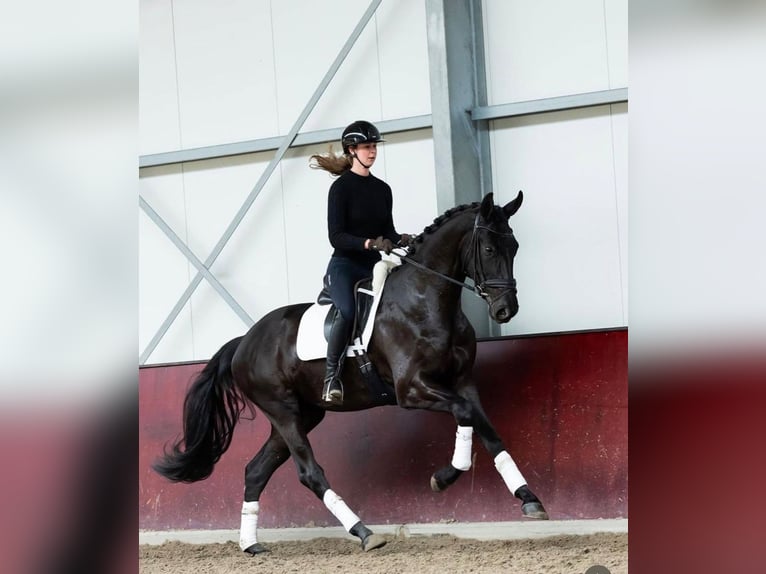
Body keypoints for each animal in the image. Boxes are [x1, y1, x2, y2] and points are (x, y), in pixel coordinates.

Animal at [152, 191, 549, 555]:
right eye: (488, 249)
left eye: (513, 246)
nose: (505, 309)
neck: (427, 300)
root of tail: (244, 342)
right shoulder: (412, 389)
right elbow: (465, 417)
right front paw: (443, 478)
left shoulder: (463, 383)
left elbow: (489, 433)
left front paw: (529, 498)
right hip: (283, 412)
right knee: (309, 473)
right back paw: (364, 532)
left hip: (302, 414)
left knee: (255, 471)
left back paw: (251, 545)